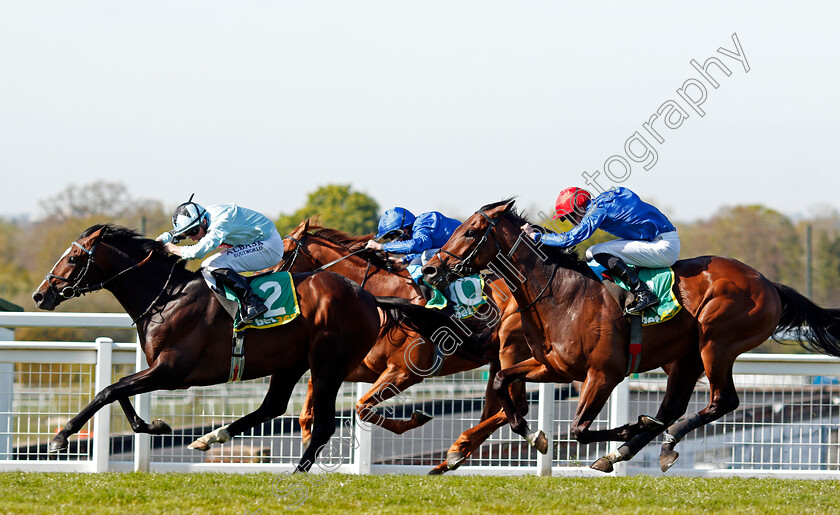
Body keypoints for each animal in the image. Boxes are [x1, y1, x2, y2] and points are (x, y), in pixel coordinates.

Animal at [32, 224, 450, 474]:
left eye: (74, 258)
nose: (41, 294)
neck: (167, 297)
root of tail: (367, 296)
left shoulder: (173, 370)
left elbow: (108, 389)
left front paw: (60, 437)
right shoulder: (160, 370)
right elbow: (118, 390)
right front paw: (155, 425)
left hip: (327, 365)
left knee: (323, 424)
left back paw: (295, 473)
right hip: (292, 363)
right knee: (273, 407)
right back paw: (211, 438)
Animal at [282, 221, 532, 476]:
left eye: (285, 253)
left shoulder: (404, 372)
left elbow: (362, 407)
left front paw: (417, 418)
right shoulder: (361, 367)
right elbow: (310, 396)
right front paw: (307, 437)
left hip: (512, 350)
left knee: (518, 405)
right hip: (497, 361)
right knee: (493, 410)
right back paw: (450, 459)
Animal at [420, 200, 840, 474]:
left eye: (470, 231)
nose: (430, 269)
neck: (562, 293)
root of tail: (769, 284)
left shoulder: (604, 373)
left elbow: (579, 429)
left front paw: (627, 427)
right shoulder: (554, 366)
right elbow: (505, 382)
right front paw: (529, 433)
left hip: (716, 344)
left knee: (723, 401)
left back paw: (649, 439)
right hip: (686, 357)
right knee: (675, 406)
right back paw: (639, 447)